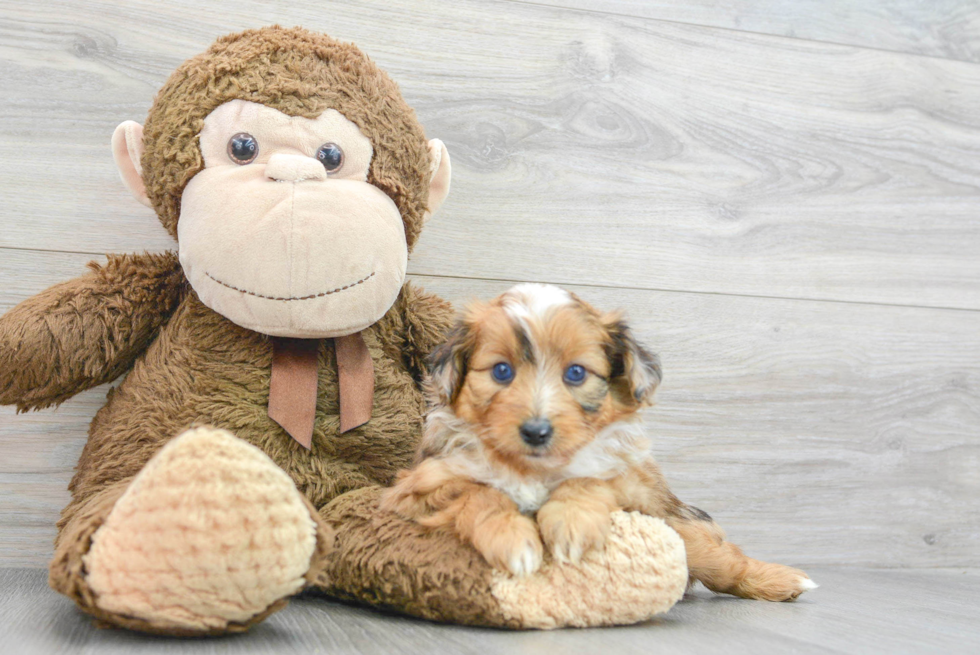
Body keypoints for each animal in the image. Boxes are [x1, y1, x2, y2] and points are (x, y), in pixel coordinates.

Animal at [378, 284, 816, 604]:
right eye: (501, 371)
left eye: (576, 373)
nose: (536, 431)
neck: (532, 468)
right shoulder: (419, 486)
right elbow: (478, 492)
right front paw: (512, 540)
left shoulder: (633, 485)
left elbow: (589, 477)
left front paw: (571, 523)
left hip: (677, 525)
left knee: (721, 559)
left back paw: (781, 580)